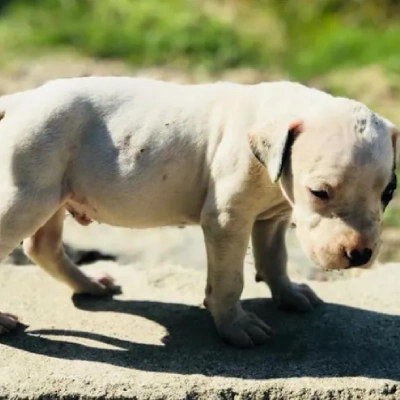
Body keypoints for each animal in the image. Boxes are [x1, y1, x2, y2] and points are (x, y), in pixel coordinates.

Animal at [0, 77, 396, 346]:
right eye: (319, 193)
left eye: (389, 193)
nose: (360, 254)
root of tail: (21, 99)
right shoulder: (227, 220)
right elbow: (230, 279)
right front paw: (235, 325)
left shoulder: (272, 218)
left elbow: (274, 259)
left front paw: (288, 294)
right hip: (28, 194)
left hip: (54, 192)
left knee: (43, 247)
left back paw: (90, 285)